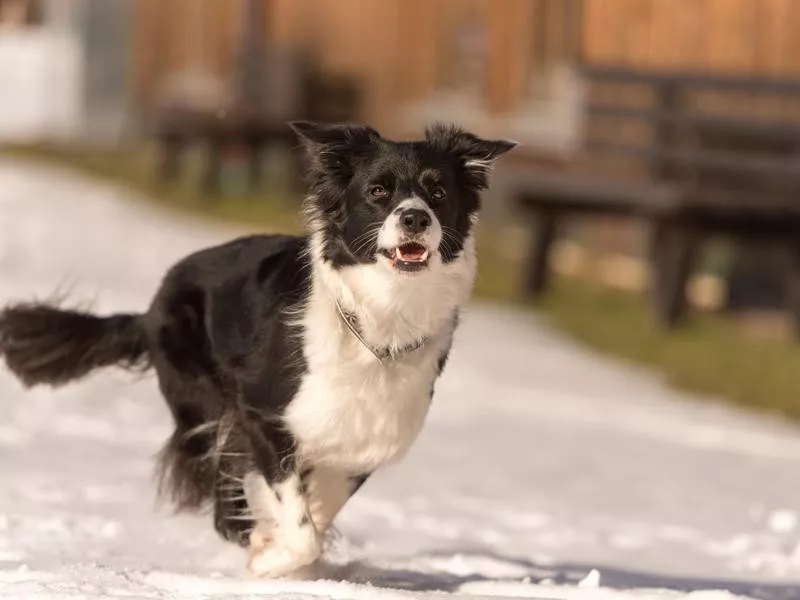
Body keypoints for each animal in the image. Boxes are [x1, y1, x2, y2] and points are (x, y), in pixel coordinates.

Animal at [0, 120, 516, 576]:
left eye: (438, 193)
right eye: (377, 192)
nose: (414, 217)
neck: (380, 315)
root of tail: (149, 308)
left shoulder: (367, 435)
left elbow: (320, 506)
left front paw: (285, 549)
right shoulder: (263, 416)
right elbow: (300, 525)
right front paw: (270, 557)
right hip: (206, 401)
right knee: (221, 504)